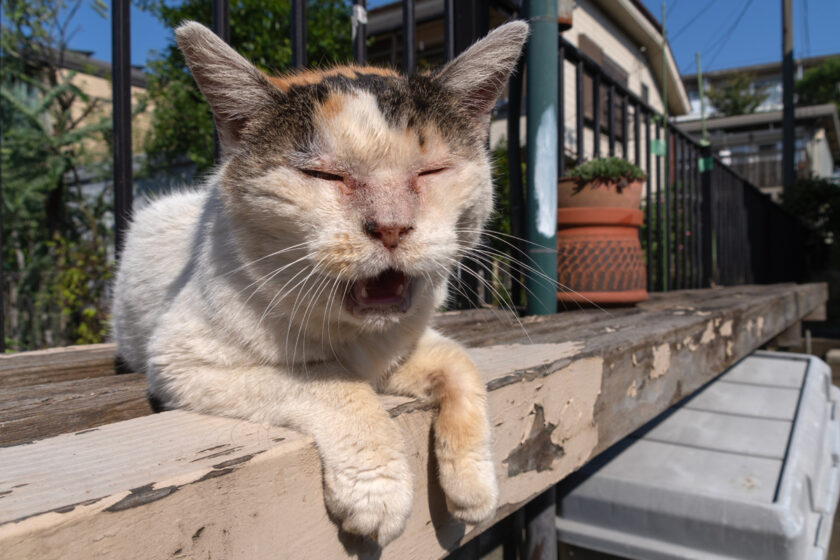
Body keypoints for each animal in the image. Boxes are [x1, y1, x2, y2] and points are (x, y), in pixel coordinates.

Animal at [115, 20, 528, 544]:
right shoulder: (181, 363)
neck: (358, 339)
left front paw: (473, 485)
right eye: (322, 174)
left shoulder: (405, 347)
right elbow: (329, 379)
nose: (391, 226)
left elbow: (462, 366)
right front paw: (378, 491)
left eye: (433, 170)